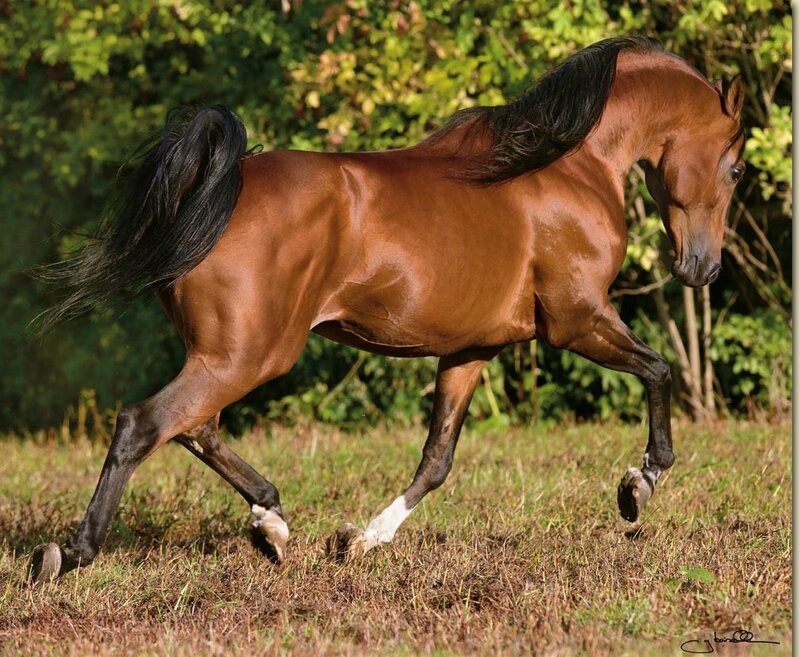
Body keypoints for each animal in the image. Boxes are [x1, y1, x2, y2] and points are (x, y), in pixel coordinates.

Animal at [30, 36, 745, 582]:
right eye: (737, 169)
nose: (703, 269)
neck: (568, 167)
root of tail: (217, 188)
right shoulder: (578, 321)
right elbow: (659, 369)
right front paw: (638, 486)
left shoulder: (471, 349)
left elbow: (437, 460)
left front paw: (361, 539)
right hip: (249, 355)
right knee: (144, 423)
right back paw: (69, 554)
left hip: (226, 355)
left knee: (193, 428)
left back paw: (272, 524)